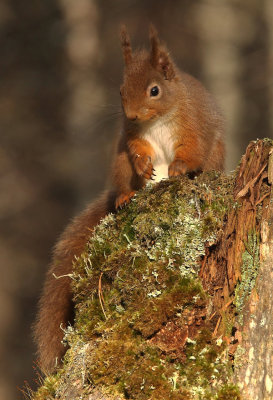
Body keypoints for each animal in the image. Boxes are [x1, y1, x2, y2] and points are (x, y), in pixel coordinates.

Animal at [33, 25, 223, 374]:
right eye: (121, 90)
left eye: (154, 90)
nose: (132, 113)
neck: (157, 119)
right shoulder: (132, 135)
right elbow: (139, 150)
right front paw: (145, 167)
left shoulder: (193, 124)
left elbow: (191, 149)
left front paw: (178, 168)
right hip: (119, 162)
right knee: (125, 179)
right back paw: (126, 195)